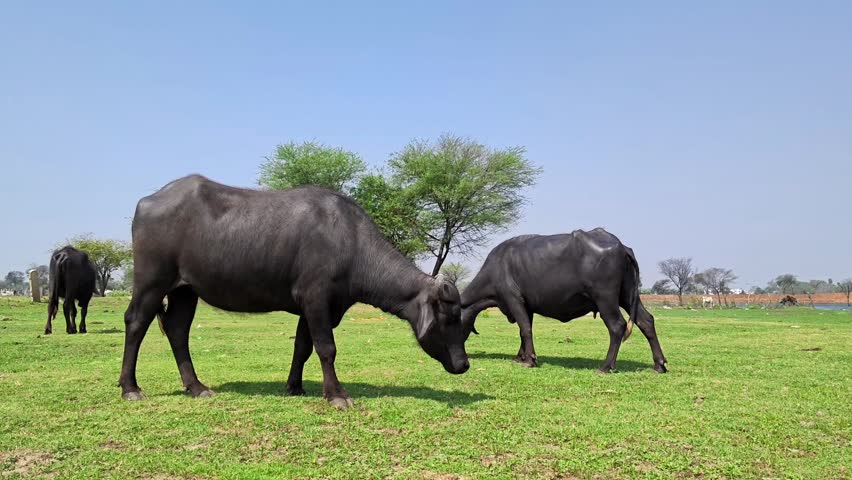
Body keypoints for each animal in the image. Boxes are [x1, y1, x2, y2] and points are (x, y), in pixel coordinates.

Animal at [119, 175, 469, 408]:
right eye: (450, 318)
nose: (464, 365)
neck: (350, 241)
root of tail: (147, 201)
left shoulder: (312, 306)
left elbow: (303, 347)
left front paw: (294, 386)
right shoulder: (316, 299)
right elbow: (326, 348)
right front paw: (336, 395)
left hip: (185, 290)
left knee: (178, 330)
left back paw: (196, 386)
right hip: (152, 281)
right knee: (136, 323)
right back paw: (130, 388)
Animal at [461, 229, 667, 373]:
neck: (497, 266)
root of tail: (621, 246)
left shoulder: (514, 300)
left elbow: (525, 329)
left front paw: (529, 360)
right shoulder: (527, 306)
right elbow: (523, 330)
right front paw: (521, 356)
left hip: (605, 299)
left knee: (617, 326)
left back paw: (605, 366)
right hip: (629, 295)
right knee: (646, 321)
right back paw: (659, 364)